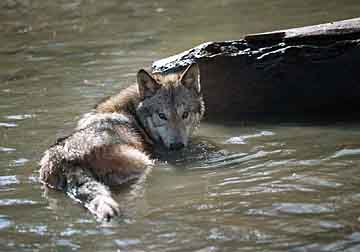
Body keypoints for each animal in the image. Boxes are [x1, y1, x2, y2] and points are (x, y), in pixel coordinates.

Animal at [38, 63, 205, 220]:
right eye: (162, 115)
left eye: (185, 114)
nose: (177, 146)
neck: (133, 114)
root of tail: (67, 159)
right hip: (145, 162)